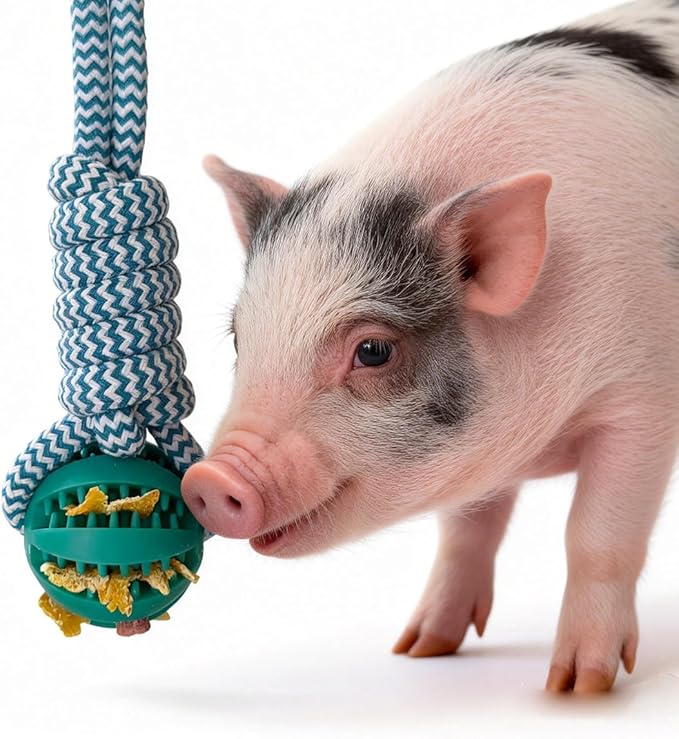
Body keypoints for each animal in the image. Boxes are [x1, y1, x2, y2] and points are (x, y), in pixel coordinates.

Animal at [181, 0, 679, 693]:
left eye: (373, 351)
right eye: (238, 336)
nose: (207, 479)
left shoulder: (642, 403)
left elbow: (596, 538)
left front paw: (576, 688)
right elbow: (466, 531)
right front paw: (420, 650)